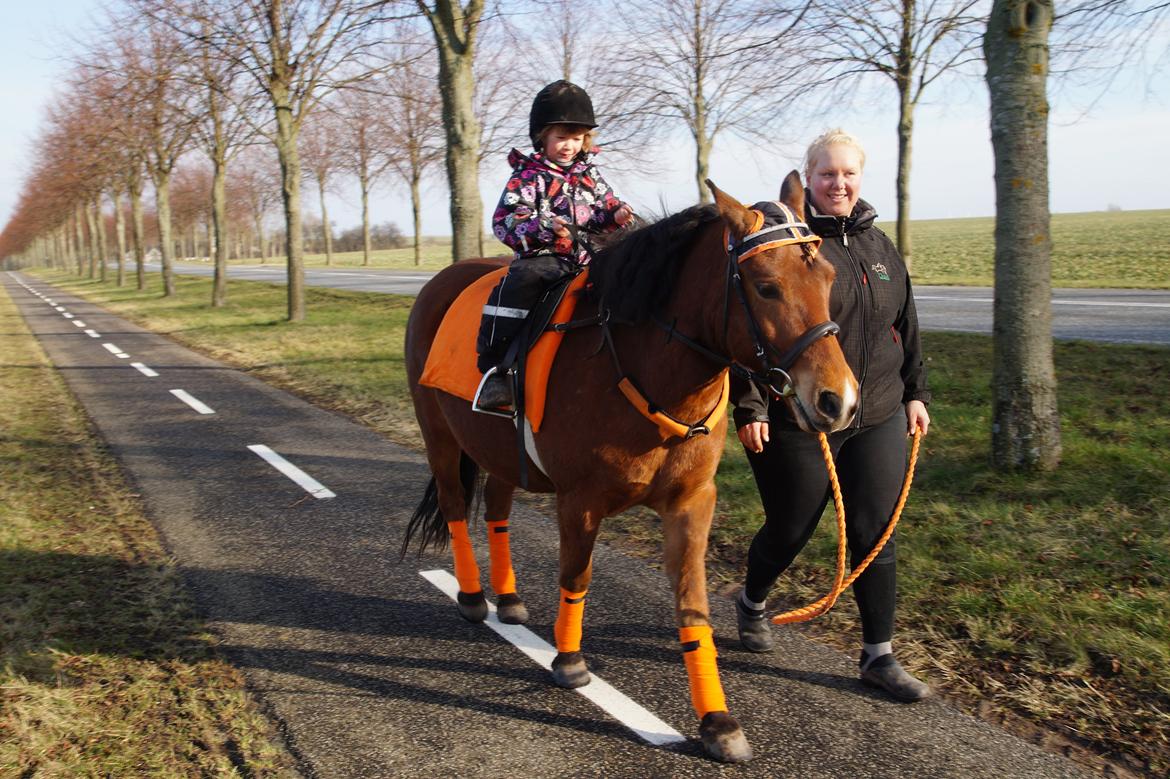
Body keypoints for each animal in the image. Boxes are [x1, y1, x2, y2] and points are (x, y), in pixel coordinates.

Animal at [407, 174, 856, 757]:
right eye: (765, 287)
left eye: (827, 276)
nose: (837, 400)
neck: (644, 367)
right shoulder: (580, 501)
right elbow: (576, 575)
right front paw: (569, 661)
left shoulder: (692, 501)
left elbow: (692, 603)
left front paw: (717, 720)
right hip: (440, 438)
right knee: (457, 507)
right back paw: (471, 596)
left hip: (499, 453)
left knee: (497, 511)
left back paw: (507, 599)